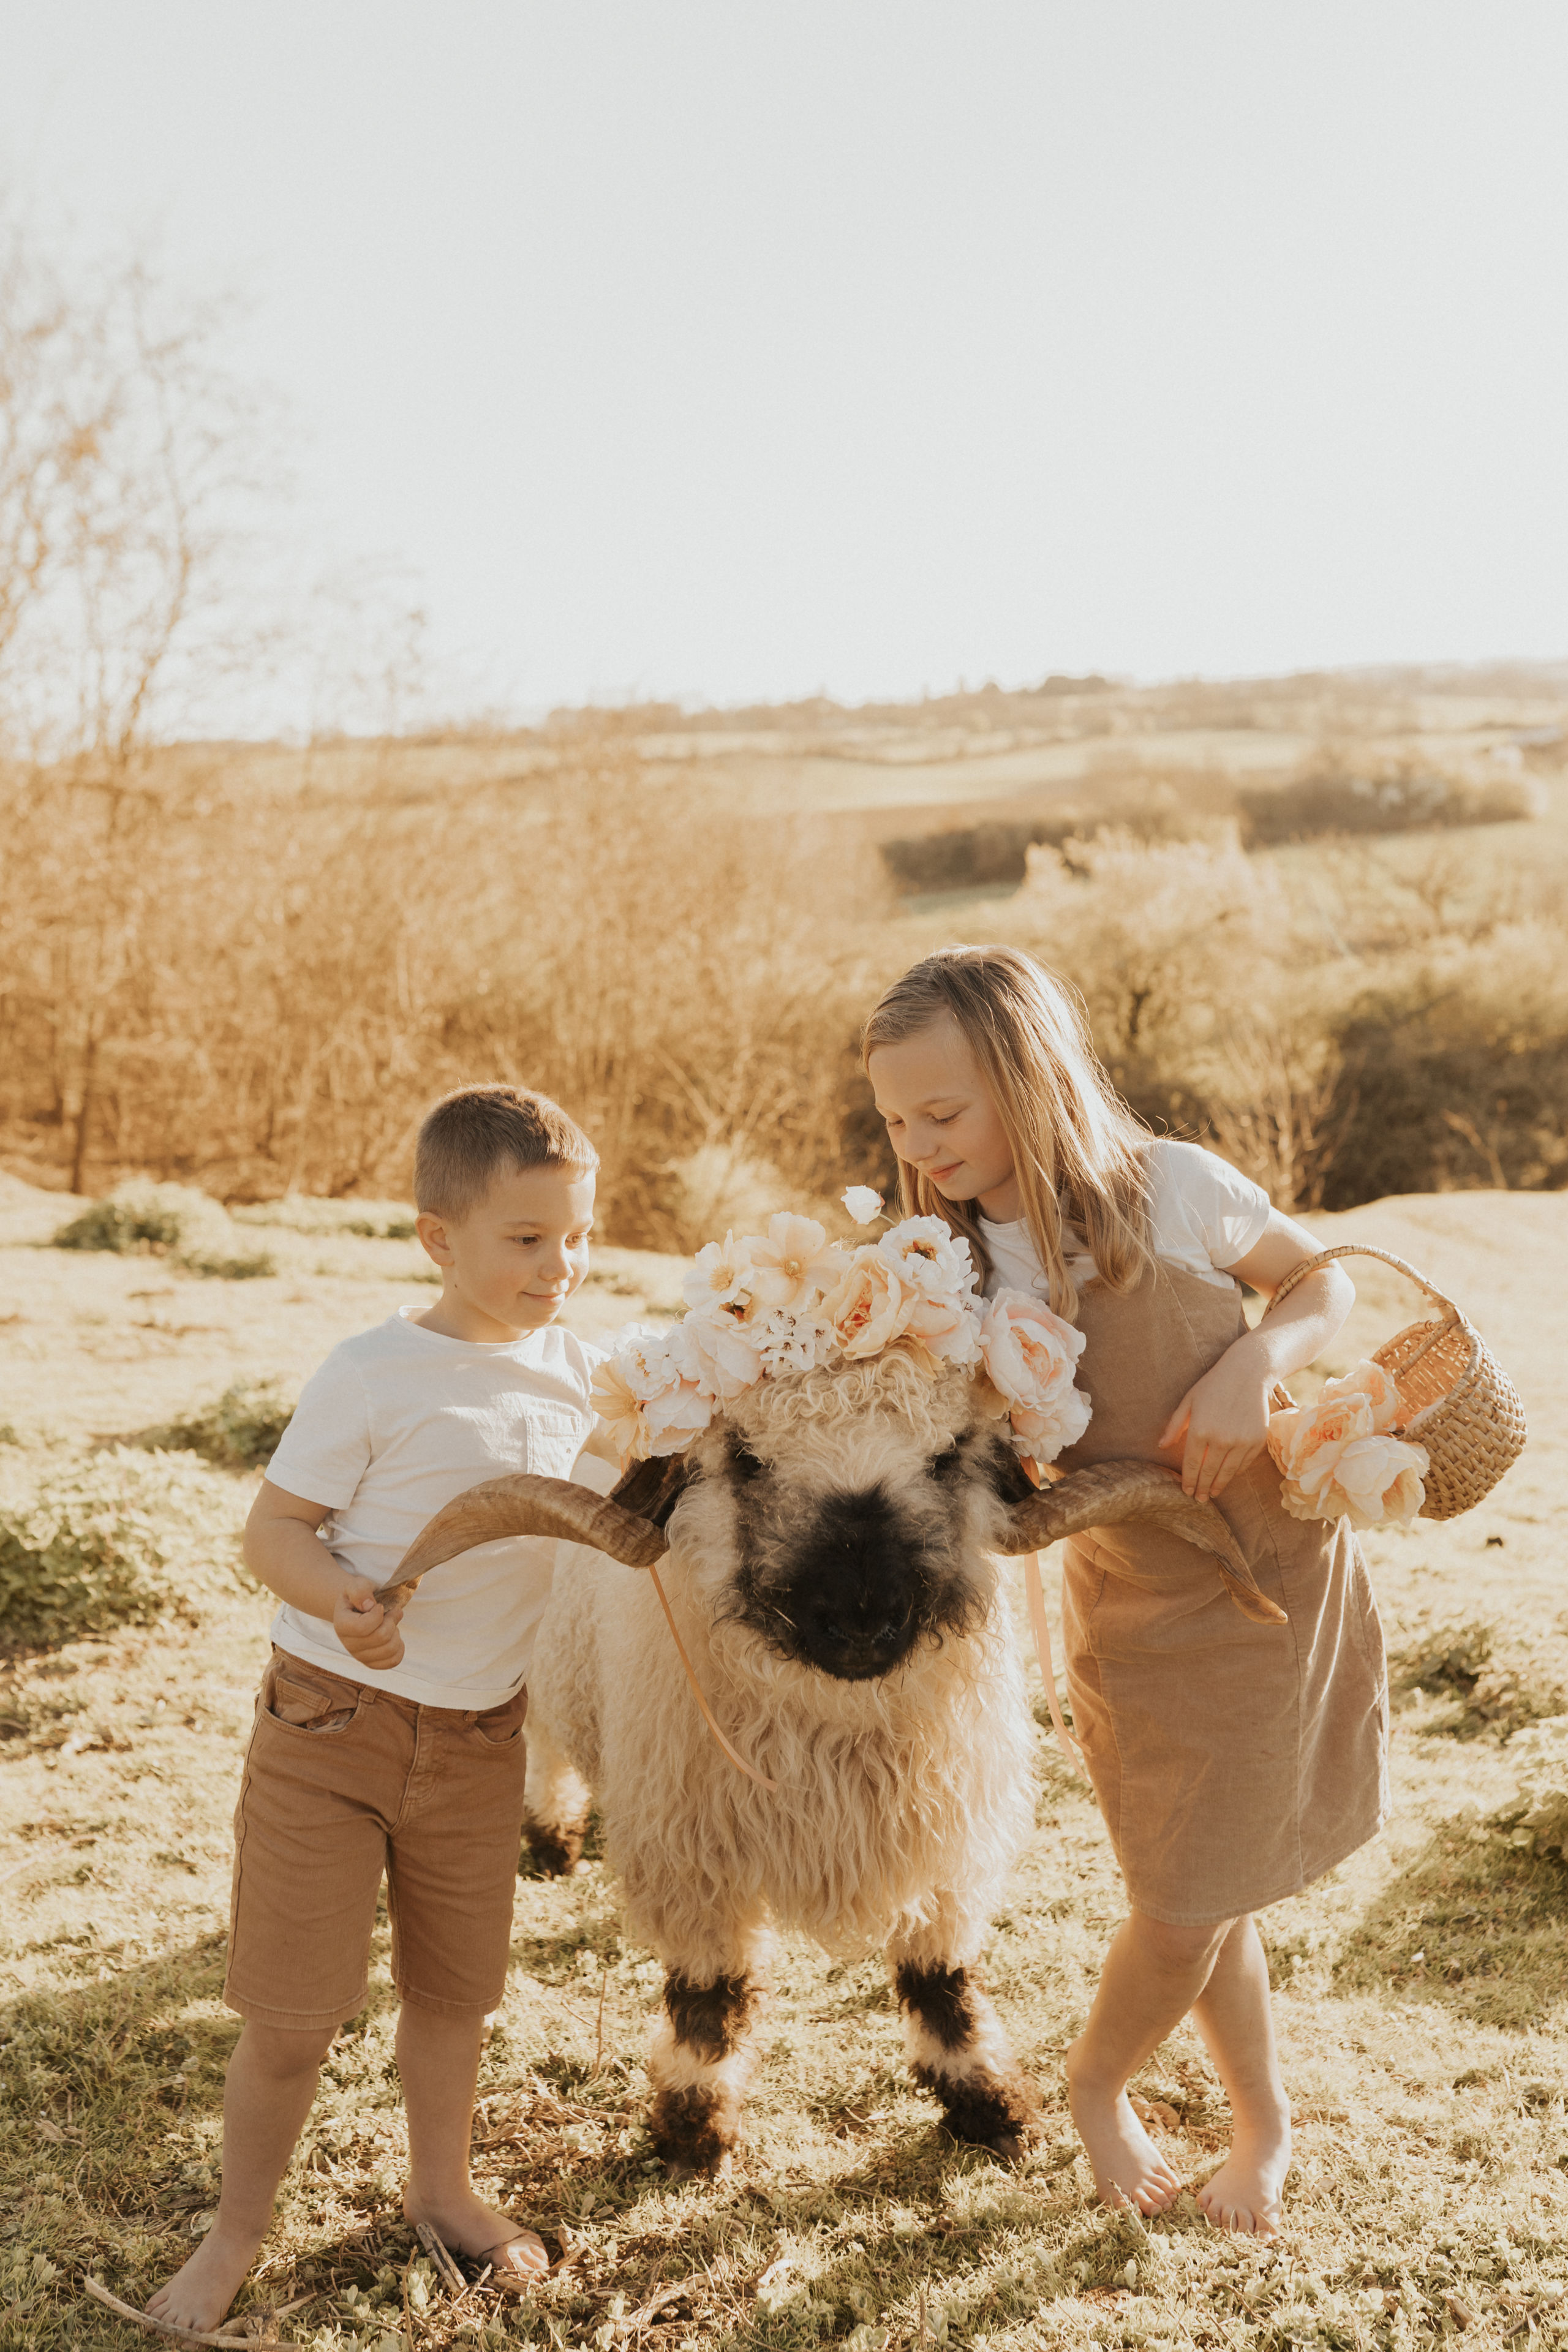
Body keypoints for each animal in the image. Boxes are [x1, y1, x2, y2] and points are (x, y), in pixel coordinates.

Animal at [386, 1345, 1271, 2174]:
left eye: (949, 1455)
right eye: (744, 1457)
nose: (859, 1619)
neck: (834, 1745)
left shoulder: (946, 1841)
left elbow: (941, 1981)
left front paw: (987, 2106)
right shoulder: (694, 1858)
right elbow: (710, 1998)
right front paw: (693, 2134)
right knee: (546, 1745)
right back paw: (551, 1839)